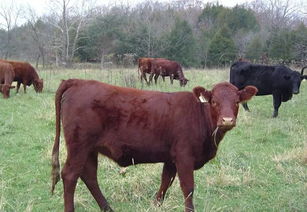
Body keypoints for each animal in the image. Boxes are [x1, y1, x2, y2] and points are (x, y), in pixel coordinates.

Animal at [50, 78, 258, 211]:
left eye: (237, 102)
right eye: (214, 101)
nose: (227, 120)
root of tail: (78, 81)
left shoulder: (171, 159)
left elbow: (165, 181)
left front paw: (156, 204)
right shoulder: (184, 156)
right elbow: (188, 188)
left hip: (89, 149)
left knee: (89, 176)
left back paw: (107, 208)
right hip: (79, 146)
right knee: (70, 175)